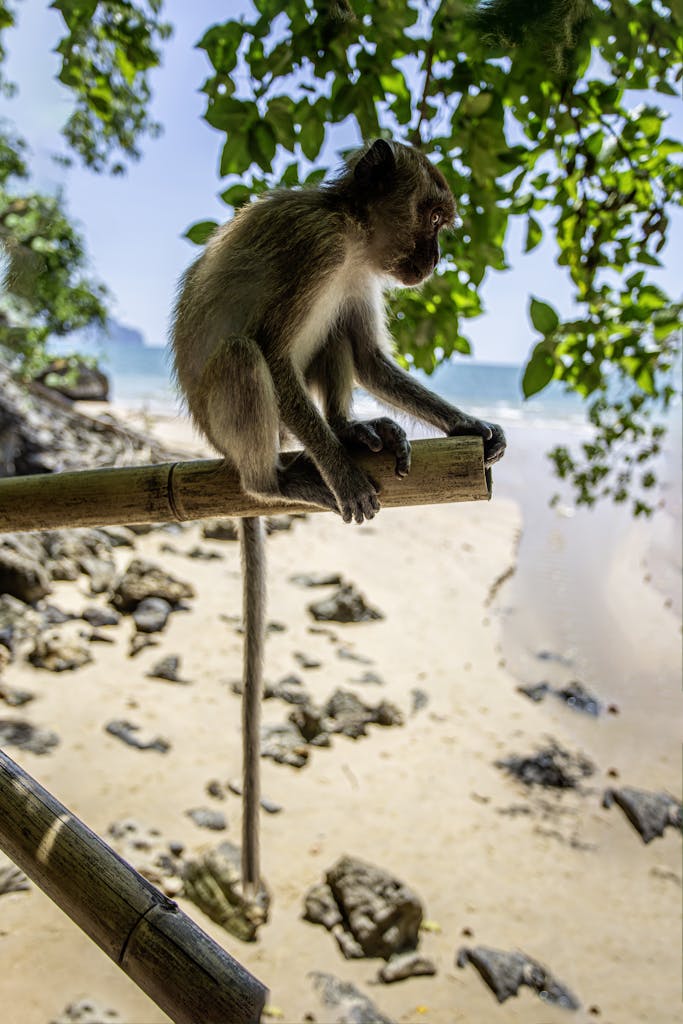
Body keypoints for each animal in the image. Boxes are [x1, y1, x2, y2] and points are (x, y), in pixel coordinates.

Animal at [170, 139, 506, 895]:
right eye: (433, 218)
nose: (435, 259)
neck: (353, 237)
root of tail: (221, 448)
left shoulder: (358, 277)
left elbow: (372, 359)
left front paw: (469, 424)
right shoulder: (317, 248)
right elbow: (270, 350)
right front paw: (343, 475)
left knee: (337, 343)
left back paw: (351, 429)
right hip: (230, 418)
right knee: (246, 356)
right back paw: (280, 478)